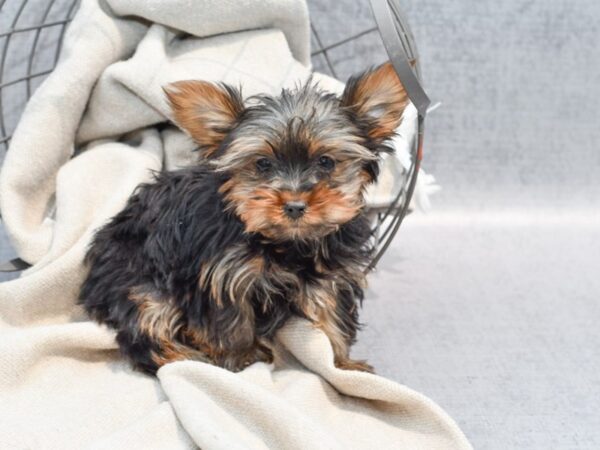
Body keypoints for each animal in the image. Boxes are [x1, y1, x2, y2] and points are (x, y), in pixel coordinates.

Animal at [78, 61, 408, 374]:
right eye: (262, 164)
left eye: (326, 162)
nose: (295, 206)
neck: (287, 242)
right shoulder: (221, 273)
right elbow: (230, 319)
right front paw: (243, 356)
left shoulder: (334, 273)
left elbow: (333, 316)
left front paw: (342, 365)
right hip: (139, 279)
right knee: (145, 324)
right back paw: (181, 355)